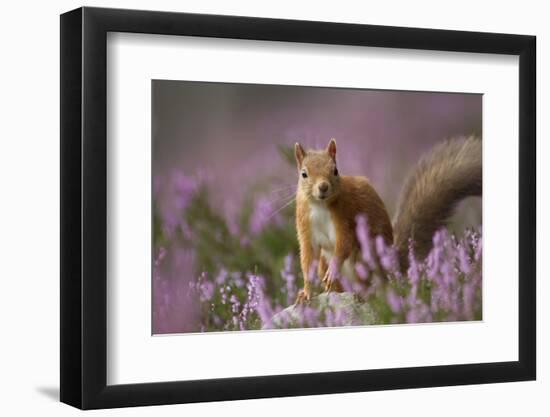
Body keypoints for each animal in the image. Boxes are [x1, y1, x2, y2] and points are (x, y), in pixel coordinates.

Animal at [296, 136, 480, 302]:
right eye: (304, 174)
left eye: (335, 170)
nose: (323, 187)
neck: (320, 205)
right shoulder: (305, 225)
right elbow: (307, 258)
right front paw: (306, 292)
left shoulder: (346, 215)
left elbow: (345, 243)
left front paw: (333, 270)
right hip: (324, 263)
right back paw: (336, 291)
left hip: (363, 259)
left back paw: (362, 294)